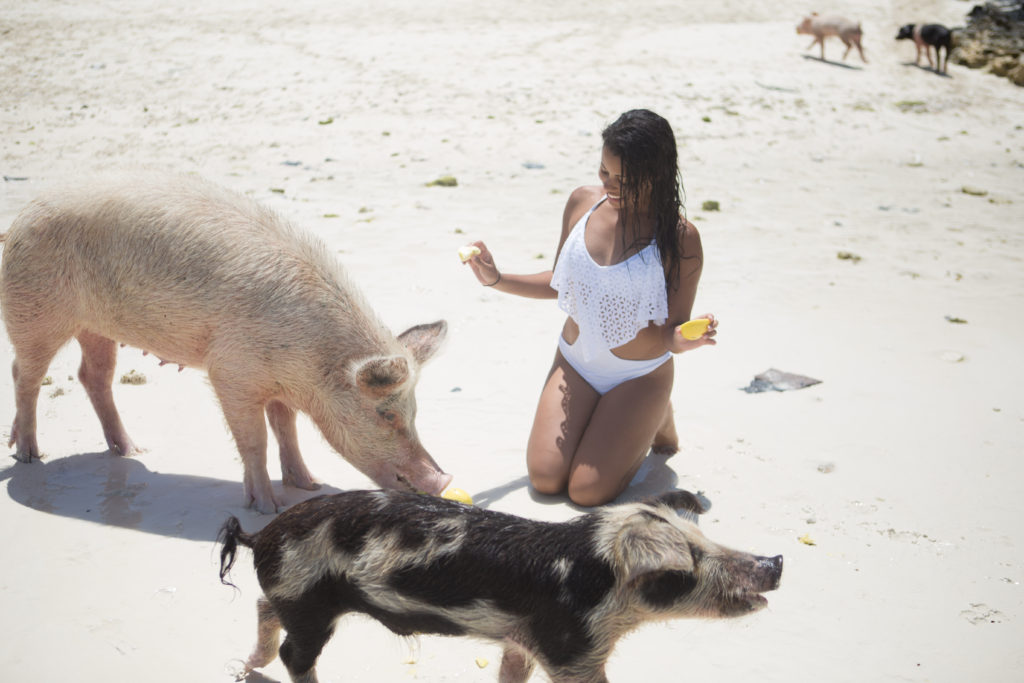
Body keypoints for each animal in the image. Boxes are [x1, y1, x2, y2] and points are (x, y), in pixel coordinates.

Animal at [1, 174, 452, 509]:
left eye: (414, 412)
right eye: (386, 414)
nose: (443, 479)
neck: (310, 362)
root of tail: (19, 218)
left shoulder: (279, 383)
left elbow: (286, 429)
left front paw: (310, 485)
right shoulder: (232, 371)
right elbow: (256, 439)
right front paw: (267, 507)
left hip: (96, 328)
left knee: (93, 375)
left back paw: (131, 452)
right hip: (35, 313)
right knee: (24, 374)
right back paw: (29, 455)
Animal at [214, 491, 774, 683]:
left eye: (704, 536)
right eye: (686, 564)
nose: (776, 561)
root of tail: (262, 535)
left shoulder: (521, 639)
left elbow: (511, 674)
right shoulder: (571, 650)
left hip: (292, 594)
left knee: (264, 610)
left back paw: (244, 667)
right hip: (310, 601)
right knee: (295, 654)